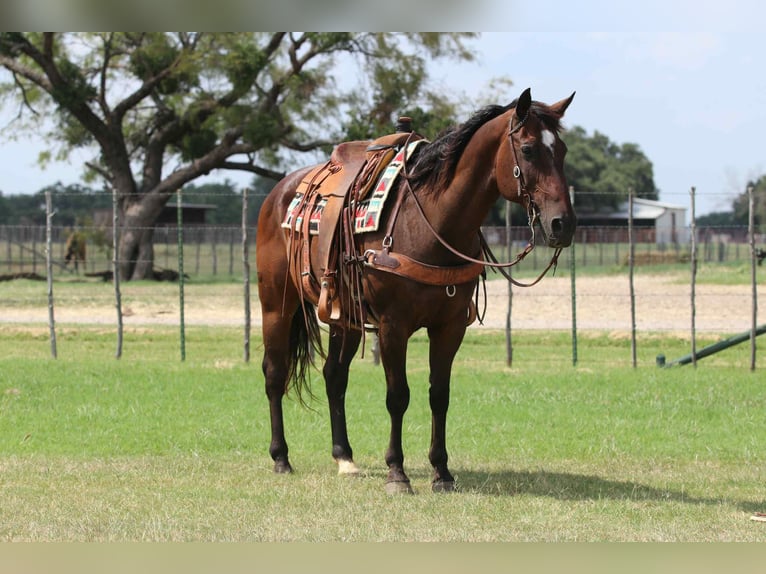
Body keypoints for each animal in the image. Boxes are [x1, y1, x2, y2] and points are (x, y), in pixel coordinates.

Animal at [255, 88, 576, 493]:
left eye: (562, 150)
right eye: (530, 149)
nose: (563, 224)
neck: (431, 221)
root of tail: (278, 195)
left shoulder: (449, 327)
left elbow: (439, 395)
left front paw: (442, 472)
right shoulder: (394, 327)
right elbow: (398, 396)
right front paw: (397, 472)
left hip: (346, 319)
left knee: (334, 376)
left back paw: (344, 457)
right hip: (276, 306)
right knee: (274, 373)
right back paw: (280, 457)